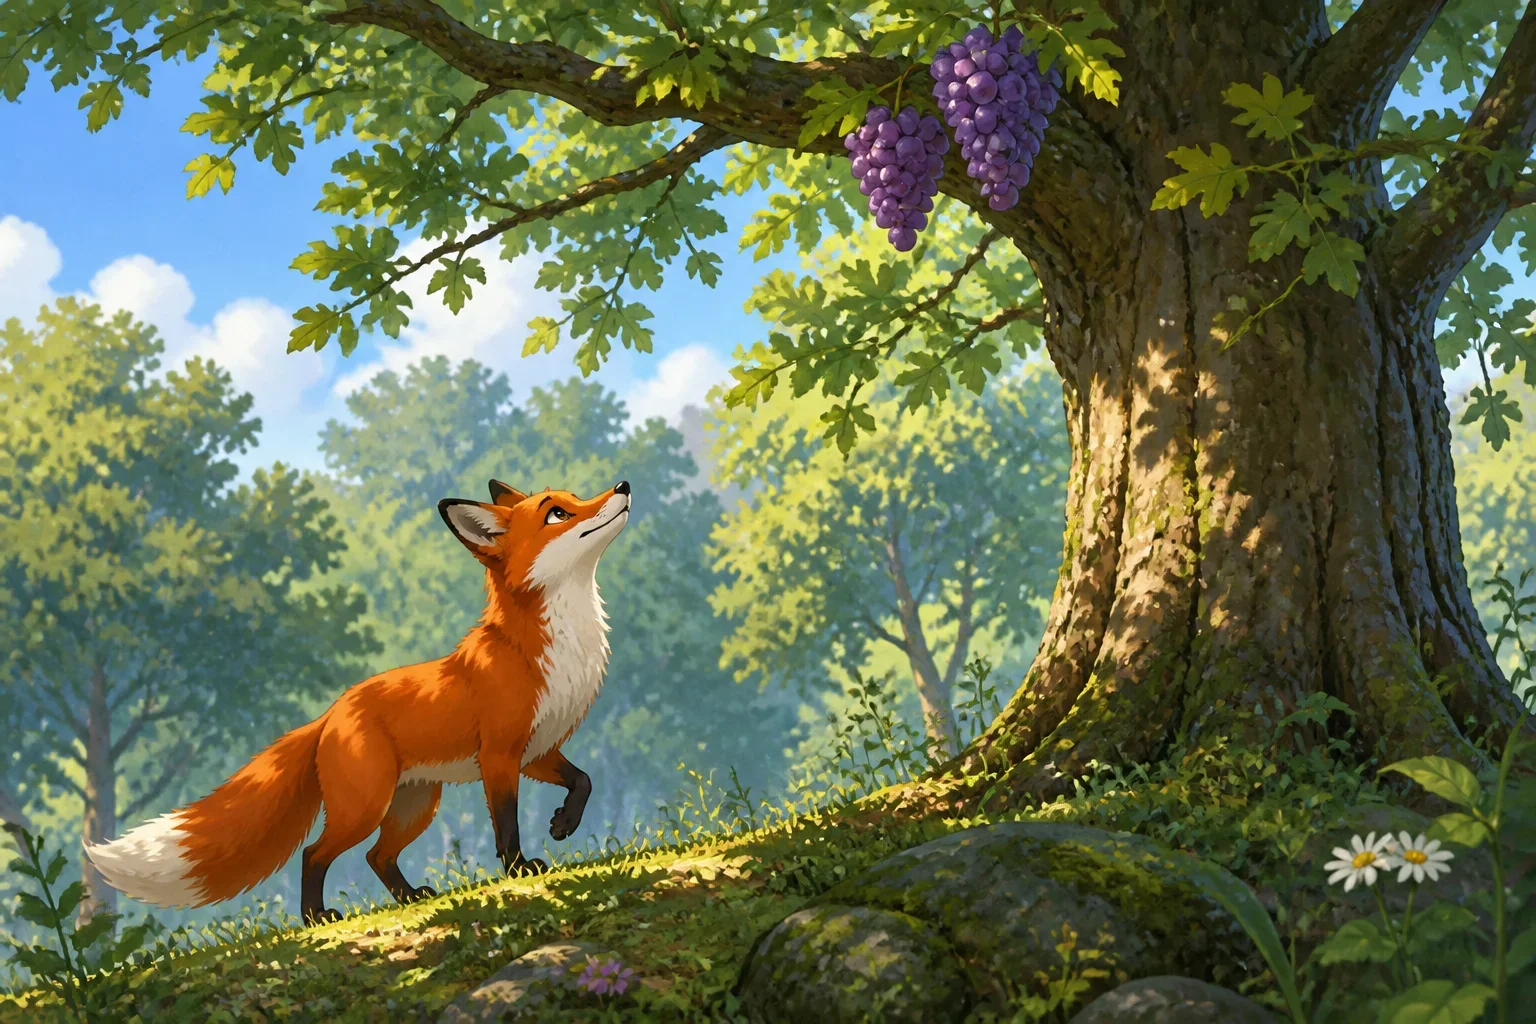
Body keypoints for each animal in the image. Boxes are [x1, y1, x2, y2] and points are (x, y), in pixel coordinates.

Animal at [83, 479, 632, 925]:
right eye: (556, 513)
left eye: (577, 495)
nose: (623, 485)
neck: (548, 647)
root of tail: (330, 713)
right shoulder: (499, 755)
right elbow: (506, 825)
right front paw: (520, 870)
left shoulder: (537, 750)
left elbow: (583, 781)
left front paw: (564, 823)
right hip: (366, 807)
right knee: (314, 853)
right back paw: (316, 917)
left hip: (413, 805)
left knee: (375, 857)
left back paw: (409, 898)